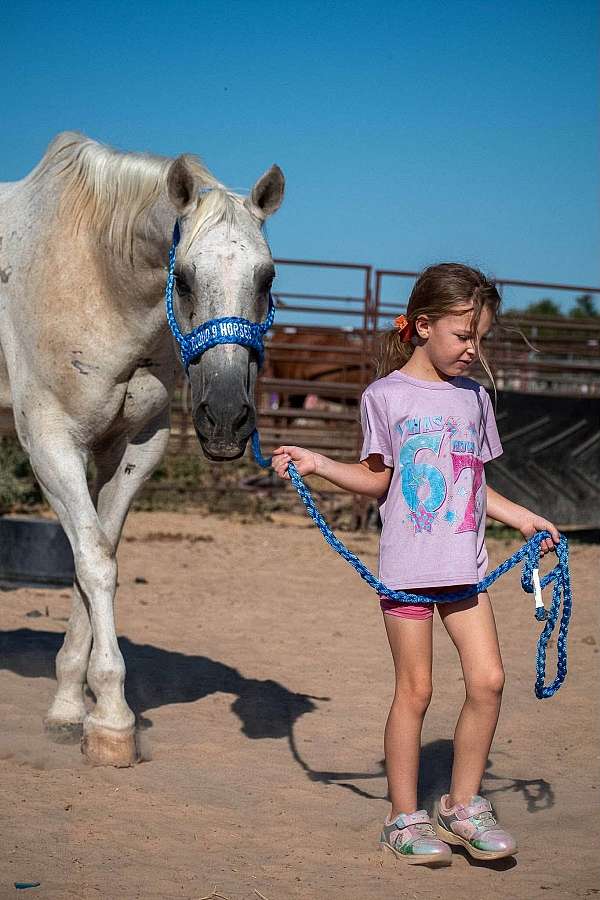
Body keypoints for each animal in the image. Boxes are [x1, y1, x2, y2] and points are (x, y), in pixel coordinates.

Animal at [0, 132, 284, 766]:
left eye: (267, 278)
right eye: (185, 279)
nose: (225, 419)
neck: (95, 274)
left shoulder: (130, 448)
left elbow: (94, 557)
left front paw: (69, 709)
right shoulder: (50, 443)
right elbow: (94, 564)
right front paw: (112, 719)